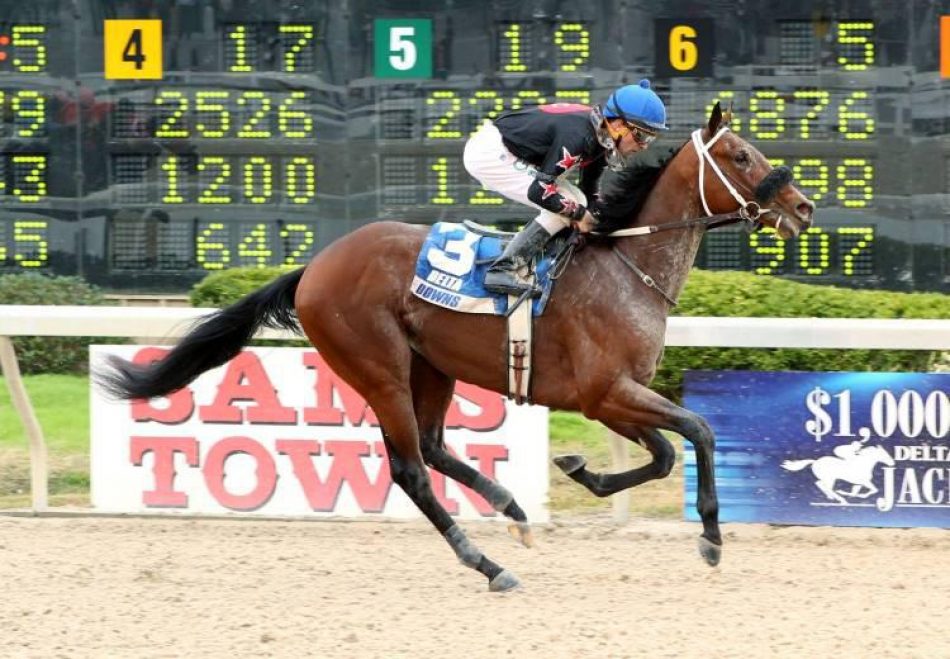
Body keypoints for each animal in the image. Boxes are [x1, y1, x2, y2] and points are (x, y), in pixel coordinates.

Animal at [99, 103, 815, 592]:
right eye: (742, 155)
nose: (803, 207)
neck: (626, 265)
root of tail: (315, 267)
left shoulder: (614, 396)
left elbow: (666, 454)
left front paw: (580, 469)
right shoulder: (605, 392)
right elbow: (699, 431)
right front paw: (712, 537)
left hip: (432, 366)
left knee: (436, 445)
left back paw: (512, 508)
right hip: (379, 368)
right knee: (412, 468)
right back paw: (488, 563)